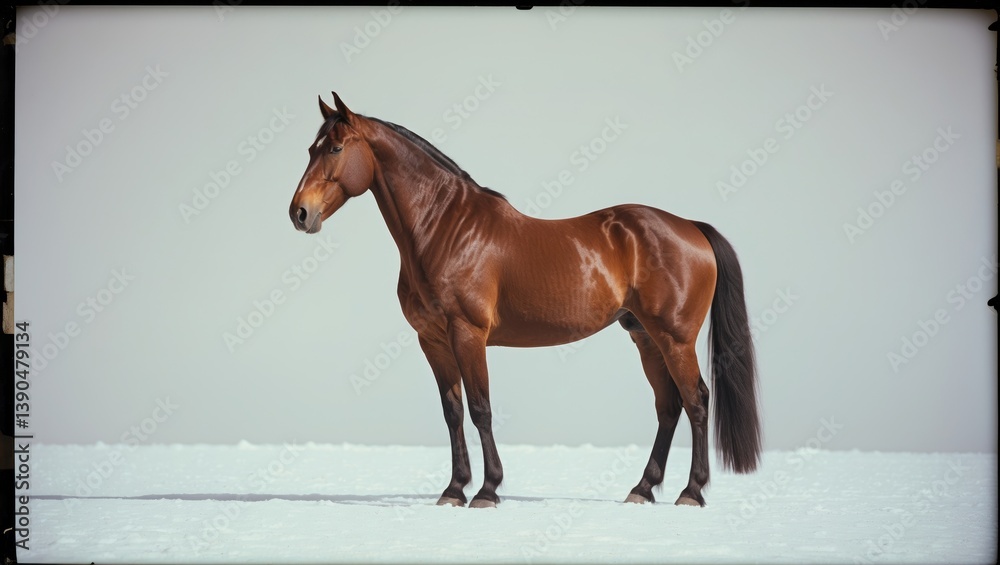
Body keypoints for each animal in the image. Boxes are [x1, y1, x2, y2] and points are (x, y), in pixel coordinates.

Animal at [289, 92, 762, 508]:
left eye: (335, 148)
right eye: (311, 148)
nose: (299, 213)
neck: (446, 228)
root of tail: (691, 226)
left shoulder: (468, 335)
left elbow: (481, 409)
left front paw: (487, 490)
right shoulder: (433, 340)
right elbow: (453, 413)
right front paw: (454, 489)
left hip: (675, 338)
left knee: (696, 401)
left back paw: (691, 492)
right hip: (644, 336)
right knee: (669, 406)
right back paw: (642, 489)